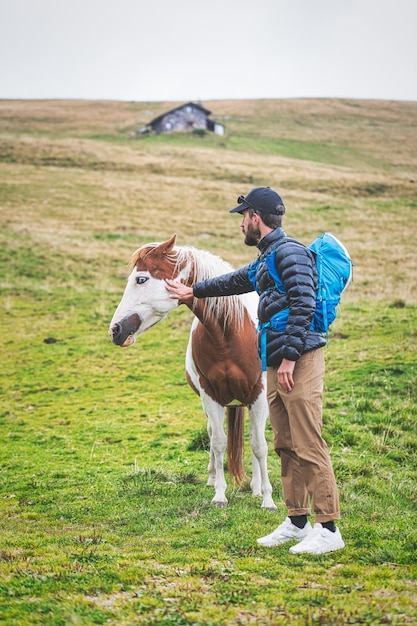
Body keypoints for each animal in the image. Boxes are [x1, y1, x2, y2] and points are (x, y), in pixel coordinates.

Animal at [109, 234, 274, 508]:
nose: (115, 330)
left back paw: (256, 487)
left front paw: (267, 499)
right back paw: (213, 478)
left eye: (141, 279)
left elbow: (259, 445)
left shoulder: (259, 396)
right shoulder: (210, 395)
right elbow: (218, 442)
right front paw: (219, 494)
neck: (230, 335)